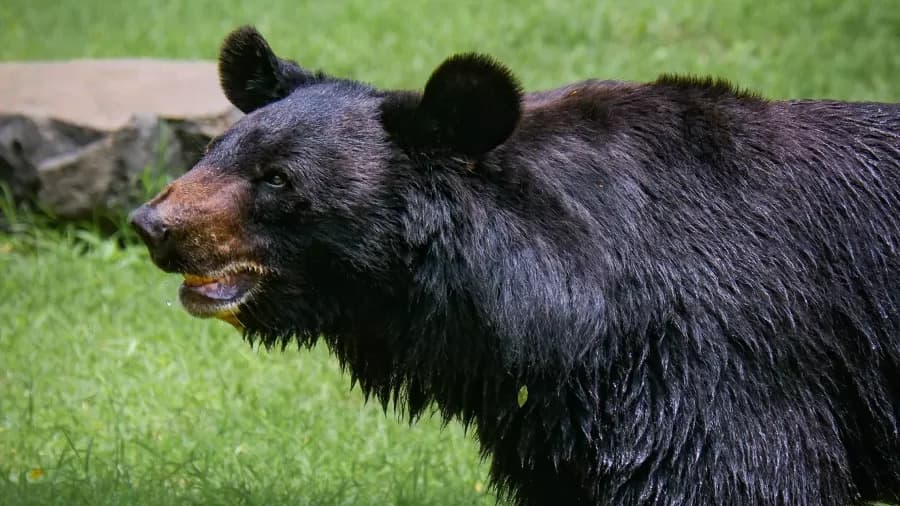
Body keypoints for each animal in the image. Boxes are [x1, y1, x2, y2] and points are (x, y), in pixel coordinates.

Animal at [130, 26, 900, 506]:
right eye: (215, 150)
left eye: (277, 179)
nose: (152, 225)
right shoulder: (563, 421)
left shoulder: (727, 361)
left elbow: (733, 474)